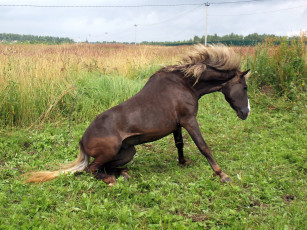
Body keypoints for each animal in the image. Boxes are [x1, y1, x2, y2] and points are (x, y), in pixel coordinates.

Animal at [24, 44, 250, 185]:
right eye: (245, 87)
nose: (246, 112)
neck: (185, 84)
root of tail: (82, 140)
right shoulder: (189, 121)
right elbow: (203, 147)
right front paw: (222, 175)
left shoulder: (177, 124)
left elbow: (180, 144)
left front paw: (183, 163)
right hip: (110, 151)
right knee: (92, 170)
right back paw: (112, 180)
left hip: (128, 152)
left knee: (104, 168)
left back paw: (123, 174)